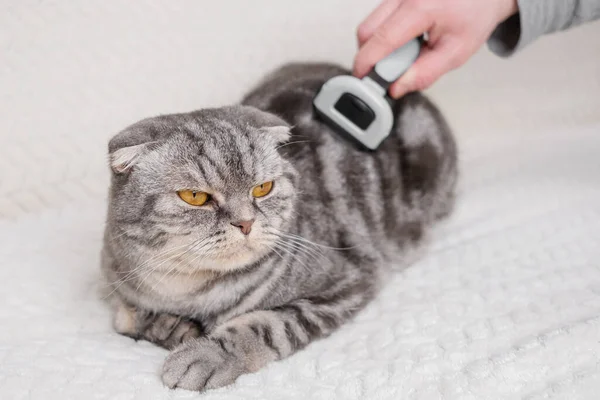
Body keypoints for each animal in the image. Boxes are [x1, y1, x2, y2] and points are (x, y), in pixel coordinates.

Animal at [102, 62, 460, 390]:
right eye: (195, 196)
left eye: (262, 188)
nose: (245, 222)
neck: (188, 292)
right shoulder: (115, 283)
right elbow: (129, 315)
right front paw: (173, 328)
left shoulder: (348, 280)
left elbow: (266, 325)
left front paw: (206, 354)